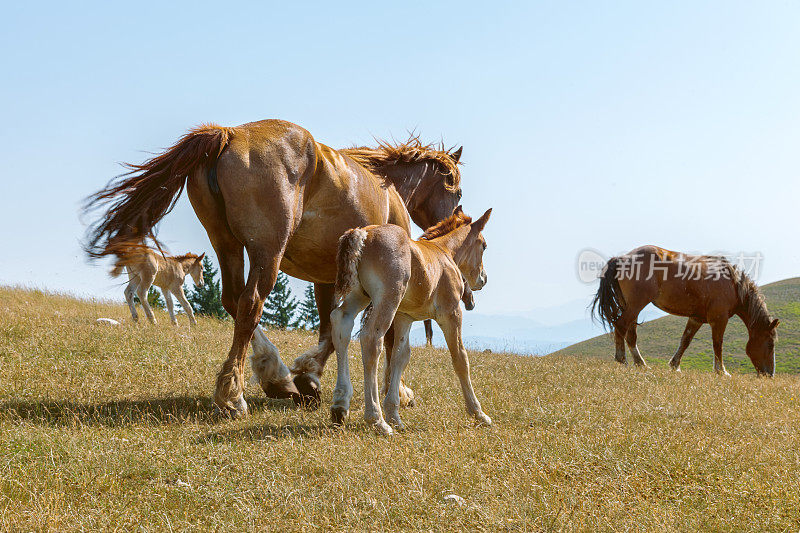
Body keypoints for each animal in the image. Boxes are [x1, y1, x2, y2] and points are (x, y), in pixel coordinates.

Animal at [83, 119, 462, 416]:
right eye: (455, 191)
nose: (454, 220)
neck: (387, 187)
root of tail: (230, 134)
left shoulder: (325, 278)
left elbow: (328, 327)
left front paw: (307, 379)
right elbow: (379, 335)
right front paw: (393, 390)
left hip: (227, 245)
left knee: (233, 300)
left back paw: (275, 377)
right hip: (268, 252)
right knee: (251, 303)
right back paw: (235, 395)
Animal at [328, 206, 490, 434]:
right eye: (484, 245)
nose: (483, 279)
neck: (445, 253)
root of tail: (363, 234)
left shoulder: (405, 317)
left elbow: (400, 356)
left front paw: (395, 414)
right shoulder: (451, 313)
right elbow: (460, 357)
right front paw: (478, 413)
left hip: (359, 294)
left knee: (341, 322)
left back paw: (340, 406)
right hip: (387, 298)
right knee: (371, 339)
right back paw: (376, 419)